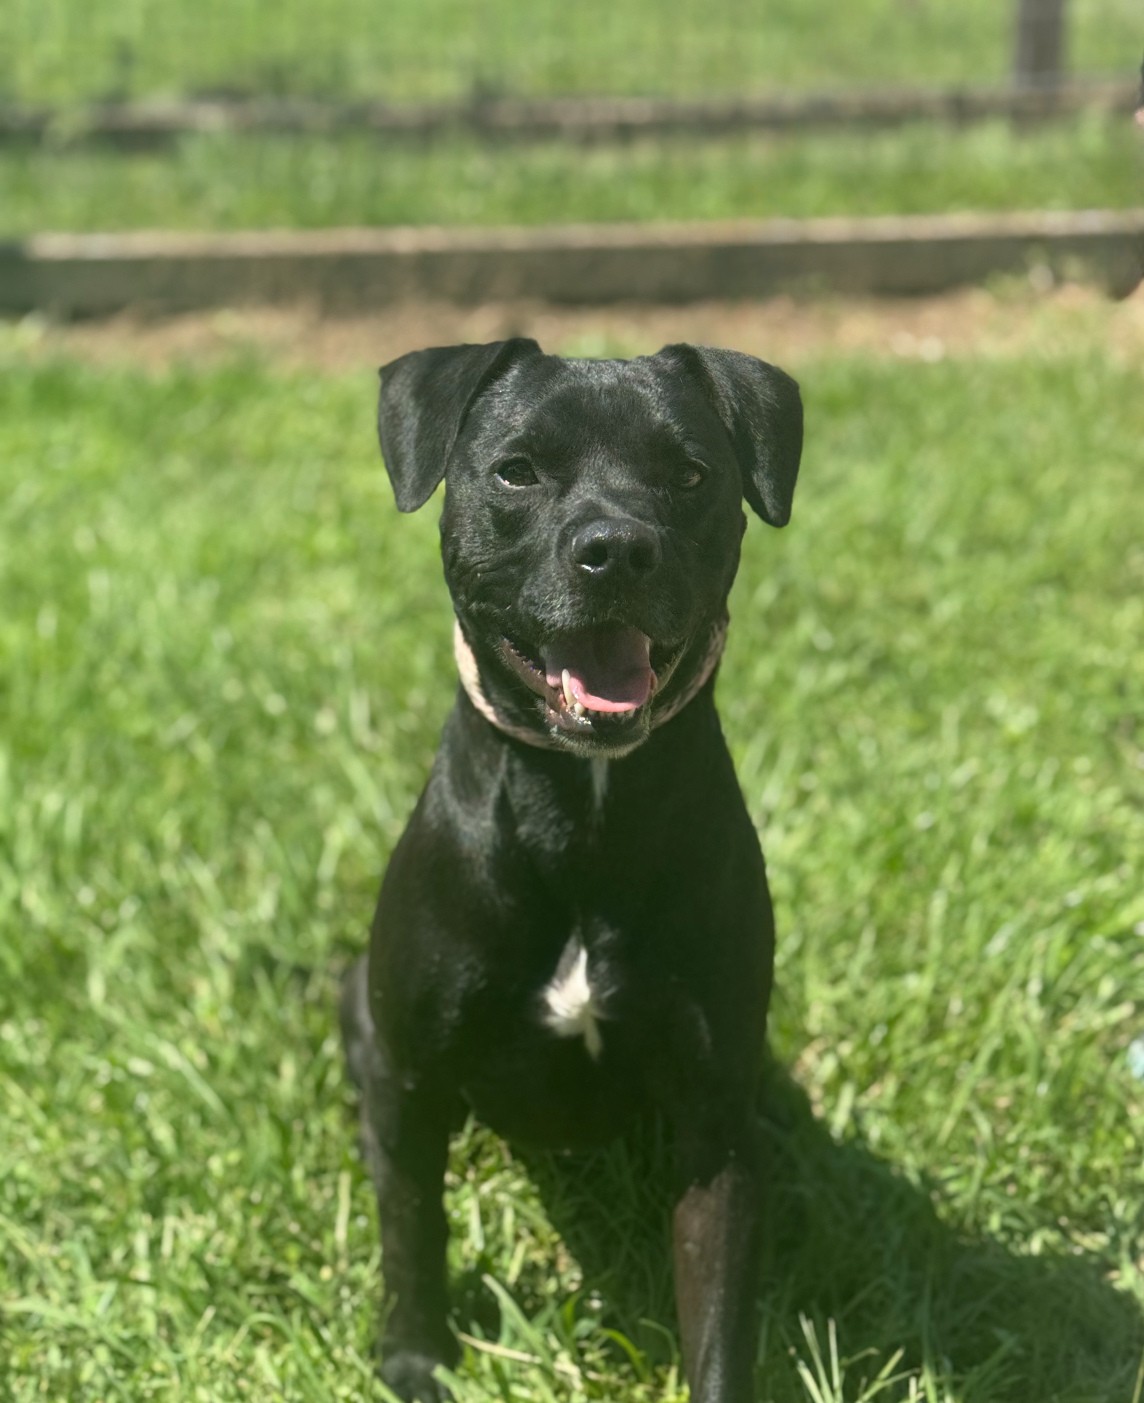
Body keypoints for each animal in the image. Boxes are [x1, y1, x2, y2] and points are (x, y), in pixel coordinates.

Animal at [339, 337, 803, 1402]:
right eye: (517, 470)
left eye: (691, 475)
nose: (618, 548)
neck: (583, 804)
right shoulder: (411, 1075)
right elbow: (413, 1227)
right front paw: (416, 1356)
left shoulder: (715, 1128)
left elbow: (720, 1319)